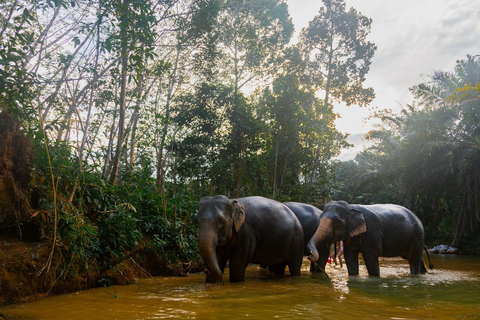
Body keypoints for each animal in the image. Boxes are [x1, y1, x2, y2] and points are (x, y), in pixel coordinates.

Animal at [308, 201, 436, 276]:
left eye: (337, 221)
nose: (309, 256)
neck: (351, 207)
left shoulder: (372, 232)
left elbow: (370, 256)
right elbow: (350, 256)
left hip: (416, 236)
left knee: (413, 259)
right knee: (416, 258)